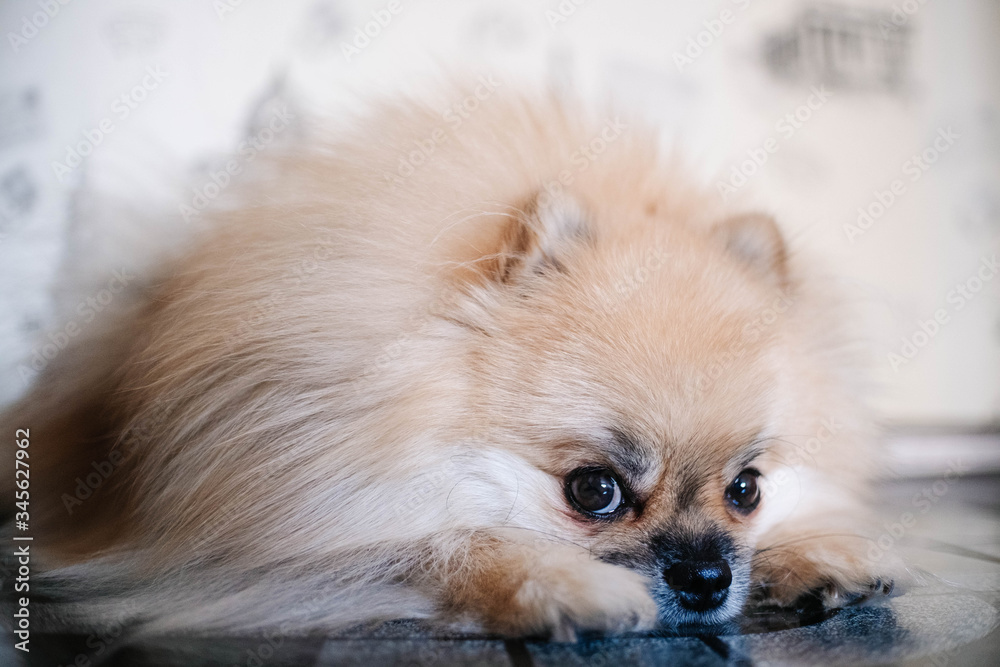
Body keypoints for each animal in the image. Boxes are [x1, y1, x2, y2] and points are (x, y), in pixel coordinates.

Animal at [5, 86, 900, 640]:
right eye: (593, 490)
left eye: (746, 489)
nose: (707, 578)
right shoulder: (282, 535)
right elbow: (451, 541)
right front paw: (566, 585)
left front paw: (816, 554)